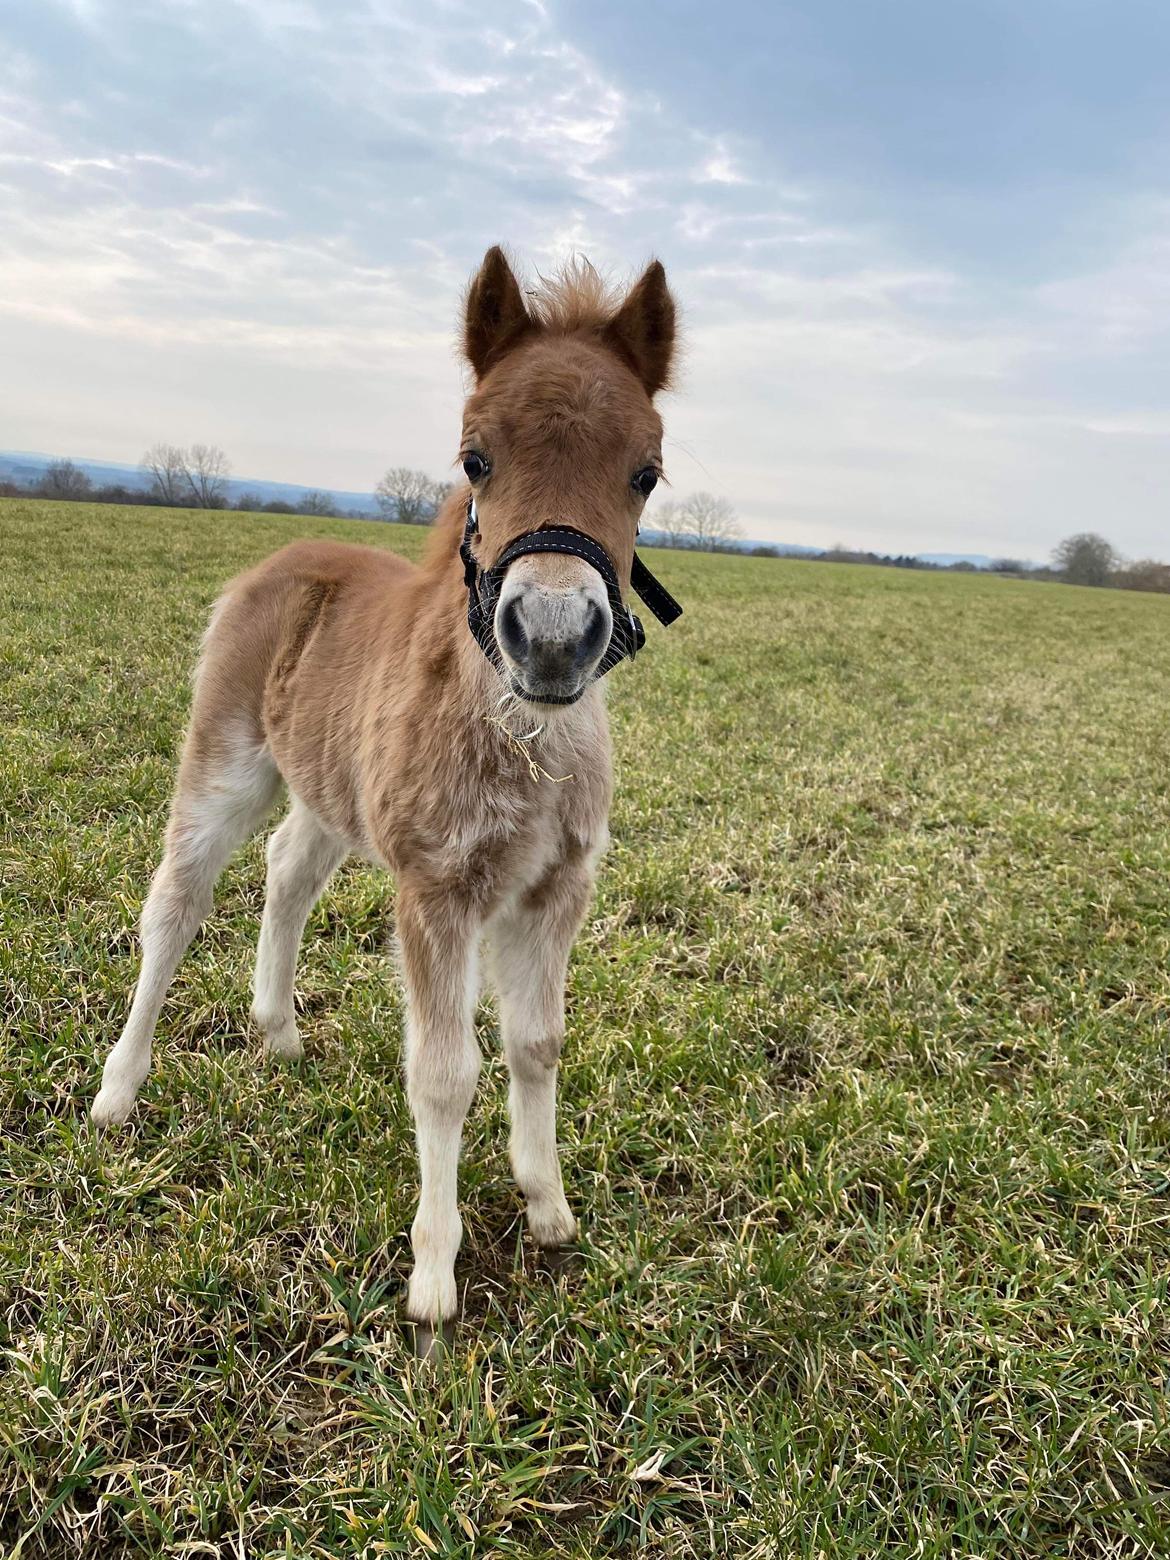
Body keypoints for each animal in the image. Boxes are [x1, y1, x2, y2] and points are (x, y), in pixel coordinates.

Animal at [96, 246, 683, 1341]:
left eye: (646, 472)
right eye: (475, 458)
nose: (551, 637)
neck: (525, 736)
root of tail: (283, 557)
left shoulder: (555, 891)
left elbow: (537, 1042)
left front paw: (548, 1206)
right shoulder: (437, 888)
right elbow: (445, 1075)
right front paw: (434, 1278)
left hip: (331, 793)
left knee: (288, 871)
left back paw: (278, 1032)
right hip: (226, 761)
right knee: (176, 905)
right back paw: (119, 1090)